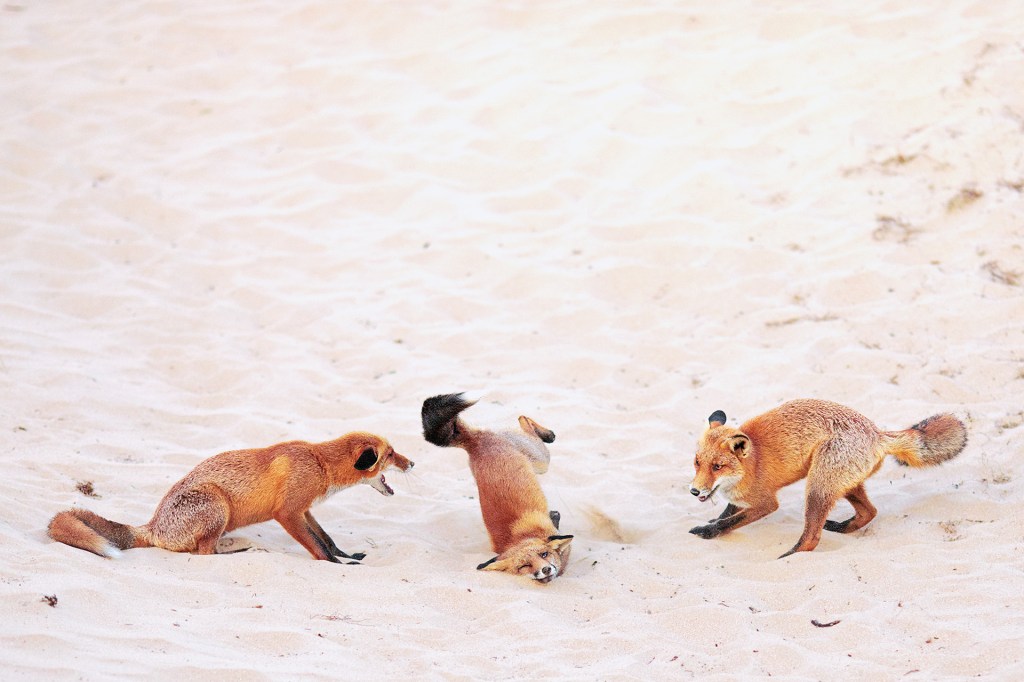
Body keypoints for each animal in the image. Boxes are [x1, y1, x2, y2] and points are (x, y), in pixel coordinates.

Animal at [47, 432, 413, 562]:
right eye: (390, 454)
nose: (412, 464)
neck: (318, 461)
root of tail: (153, 526)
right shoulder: (288, 513)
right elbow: (318, 548)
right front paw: (336, 565)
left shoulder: (304, 509)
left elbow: (327, 539)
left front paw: (347, 556)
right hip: (216, 503)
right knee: (204, 554)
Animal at [421, 393, 572, 583]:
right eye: (525, 566)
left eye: (544, 554)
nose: (545, 570)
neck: (522, 536)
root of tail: (475, 441)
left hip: (541, 460)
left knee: (526, 422)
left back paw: (547, 433)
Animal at [688, 399, 967, 558]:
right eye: (697, 462)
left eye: (717, 466)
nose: (694, 491)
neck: (751, 462)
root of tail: (877, 433)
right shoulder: (741, 497)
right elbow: (727, 512)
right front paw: (713, 520)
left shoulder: (766, 503)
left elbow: (730, 521)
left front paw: (708, 531)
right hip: (843, 483)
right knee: (869, 512)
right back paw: (840, 527)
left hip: (817, 486)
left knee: (812, 537)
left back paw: (789, 556)